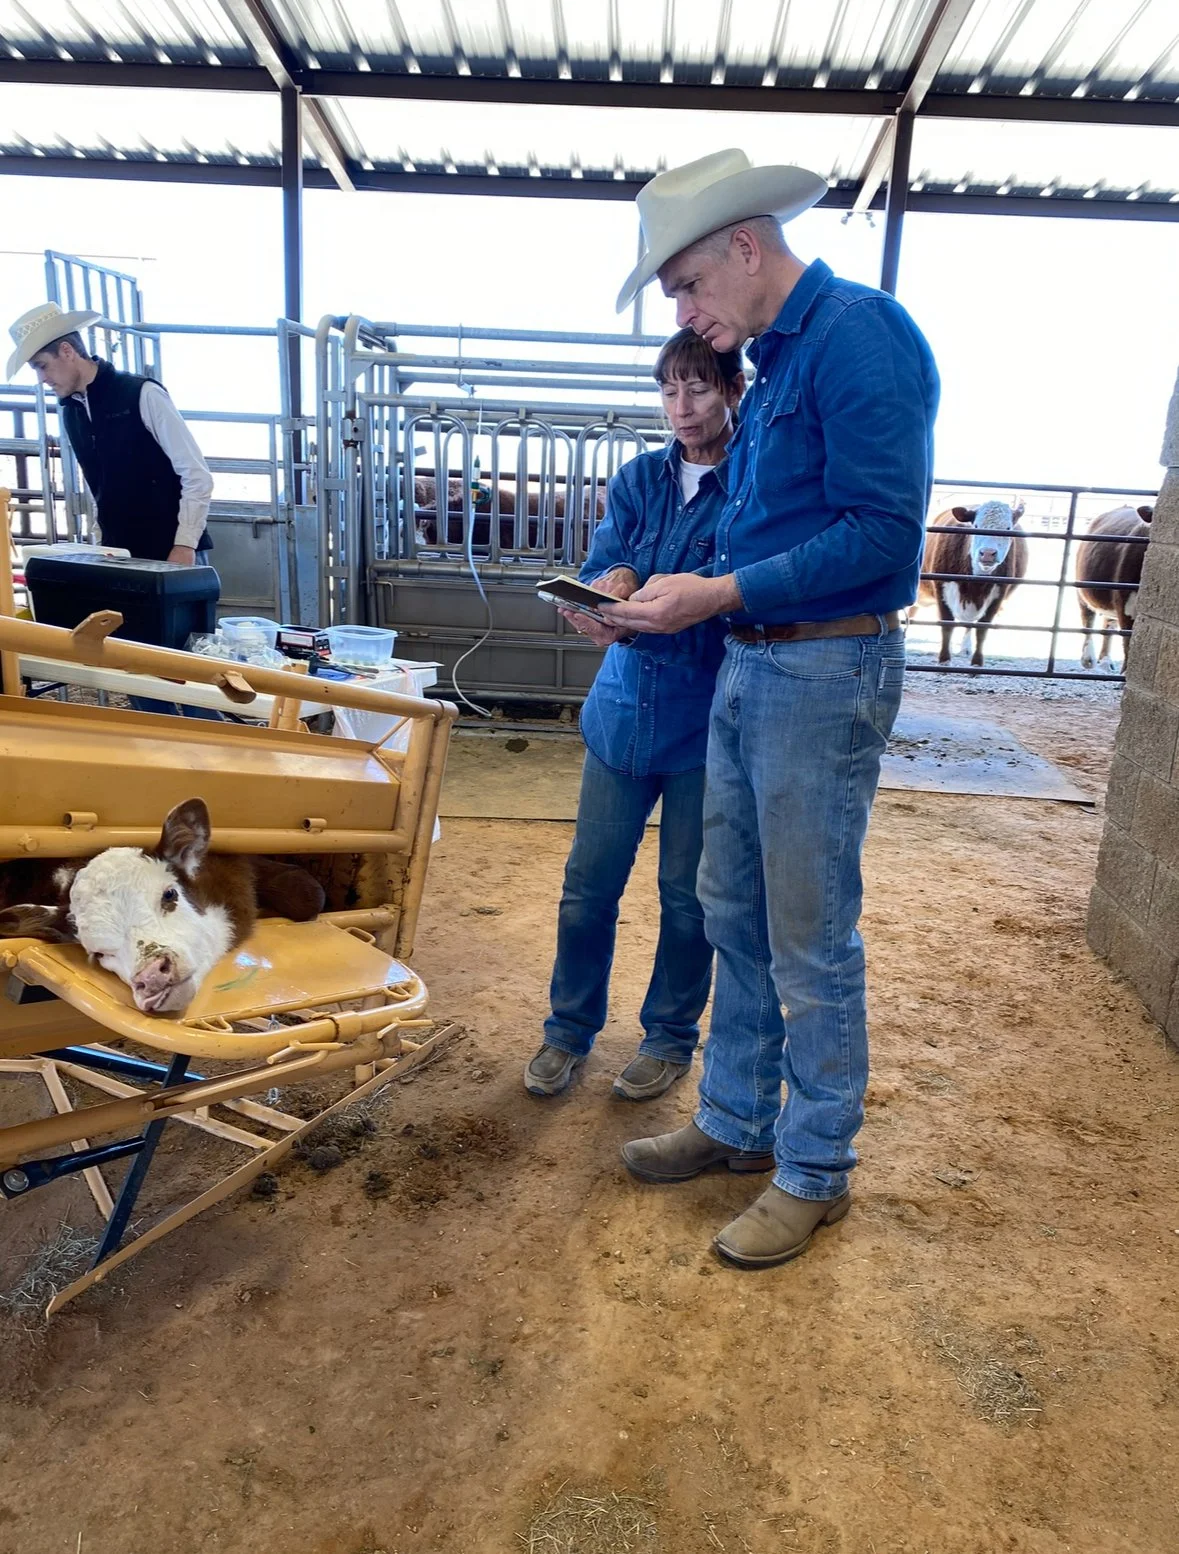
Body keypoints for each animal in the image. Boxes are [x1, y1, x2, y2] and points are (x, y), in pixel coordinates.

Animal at [918, 499, 1029, 667]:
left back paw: (966, 648)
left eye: (1008, 528)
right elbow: (946, 624)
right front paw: (944, 660)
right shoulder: (942, 588)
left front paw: (977, 662)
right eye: (976, 526)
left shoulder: (999, 594)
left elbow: (982, 629)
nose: (987, 553)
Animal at [1075, 505, 1154, 671]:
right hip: (1082, 590)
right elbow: (1129, 645)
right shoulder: (1126, 605)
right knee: (1087, 620)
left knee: (1108, 625)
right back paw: (1088, 659)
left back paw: (1106, 661)